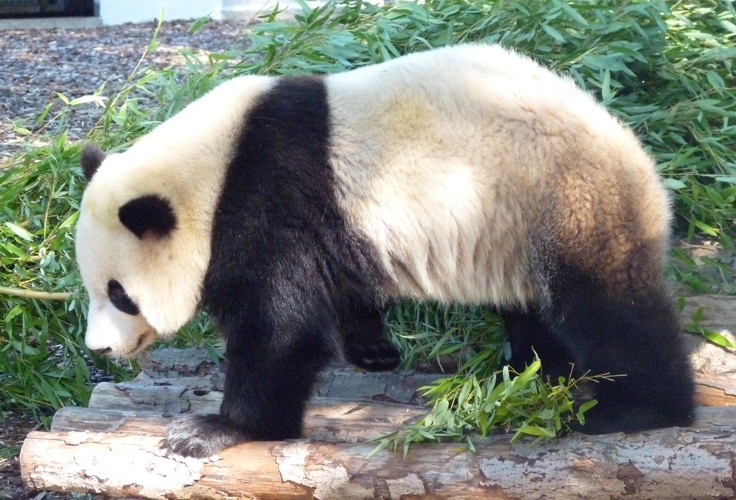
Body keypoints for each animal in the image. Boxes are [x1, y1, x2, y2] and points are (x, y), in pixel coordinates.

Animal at [76, 44, 694, 458]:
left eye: (120, 295)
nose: (99, 349)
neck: (213, 171)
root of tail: (642, 163)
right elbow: (339, 291)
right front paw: (372, 350)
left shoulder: (267, 199)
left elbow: (281, 328)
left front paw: (216, 430)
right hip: (518, 228)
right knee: (534, 308)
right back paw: (528, 371)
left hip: (567, 201)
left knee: (609, 312)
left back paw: (640, 410)